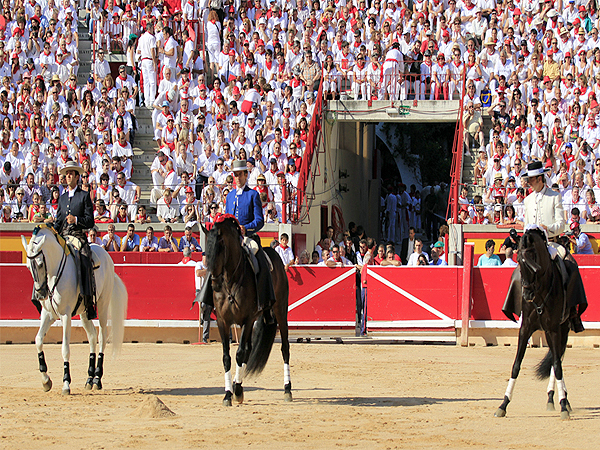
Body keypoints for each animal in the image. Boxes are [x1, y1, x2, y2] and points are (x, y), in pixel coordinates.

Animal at [21, 229, 127, 394]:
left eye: (40, 264)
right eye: (27, 266)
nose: (40, 294)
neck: (53, 274)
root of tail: (106, 255)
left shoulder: (65, 315)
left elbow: (65, 348)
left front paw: (66, 383)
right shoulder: (47, 314)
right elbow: (38, 340)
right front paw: (46, 381)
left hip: (103, 303)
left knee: (102, 336)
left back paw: (97, 379)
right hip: (85, 312)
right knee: (92, 336)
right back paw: (89, 379)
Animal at [203, 216, 292, 406]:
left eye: (219, 249)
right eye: (206, 252)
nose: (214, 283)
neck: (230, 280)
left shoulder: (248, 319)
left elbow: (239, 353)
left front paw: (236, 390)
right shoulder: (223, 321)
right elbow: (227, 357)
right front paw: (229, 393)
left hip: (280, 311)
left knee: (285, 348)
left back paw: (287, 389)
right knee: (249, 350)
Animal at [494, 230, 584, 420]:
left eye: (534, 260)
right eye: (519, 261)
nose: (527, 294)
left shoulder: (554, 329)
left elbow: (557, 366)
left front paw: (563, 407)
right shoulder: (525, 328)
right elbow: (516, 365)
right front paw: (503, 404)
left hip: (562, 330)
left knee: (558, 361)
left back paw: (562, 400)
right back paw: (553, 399)